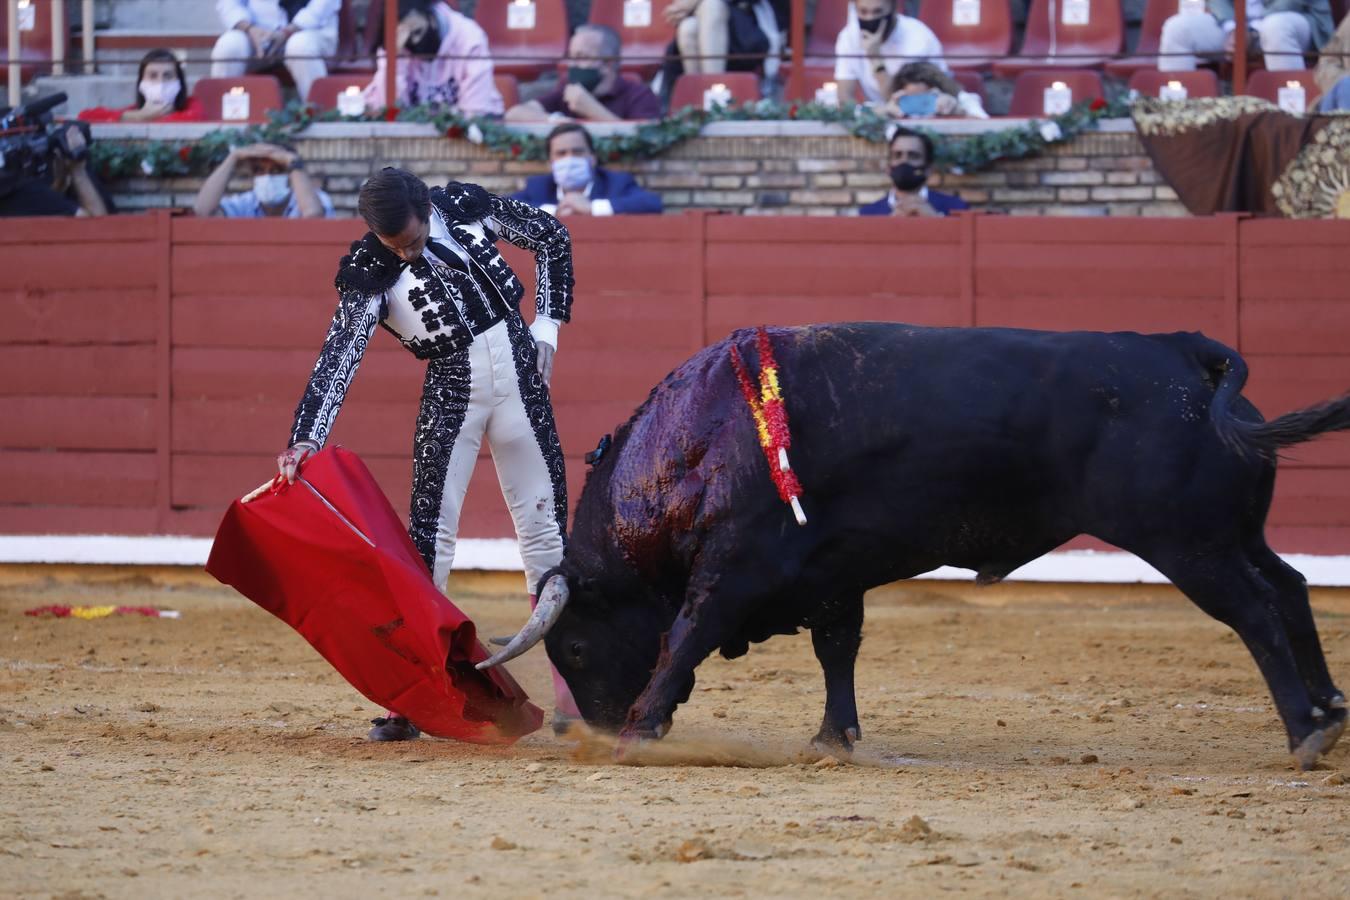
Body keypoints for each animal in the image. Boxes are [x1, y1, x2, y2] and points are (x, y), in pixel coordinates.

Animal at [526, 323, 1350, 766]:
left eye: (574, 649)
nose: (596, 727)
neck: (695, 441)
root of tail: (1185, 351)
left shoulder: (734, 569)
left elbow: (685, 638)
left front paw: (641, 732)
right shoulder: (831, 572)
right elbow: (836, 650)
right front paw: (832, 739)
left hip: (1187, 543)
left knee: (1254, 612)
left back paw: (1304, 734)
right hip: (1233, 533)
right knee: (1288, 587)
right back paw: (1330, 712)